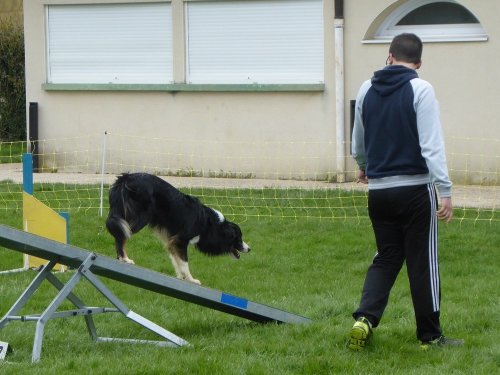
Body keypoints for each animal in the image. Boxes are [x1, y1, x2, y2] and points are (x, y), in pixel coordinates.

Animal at [106, 173, 252, 284]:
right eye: (239, 238)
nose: (249, 249)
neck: (211, 225)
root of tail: (126, 177)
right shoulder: (180, 240)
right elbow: (184, 262)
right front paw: (191, 280)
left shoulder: (172, 241)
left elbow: (177, 260)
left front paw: (181, 277)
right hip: (139, 218)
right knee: (121, 235)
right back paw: (124, 258)